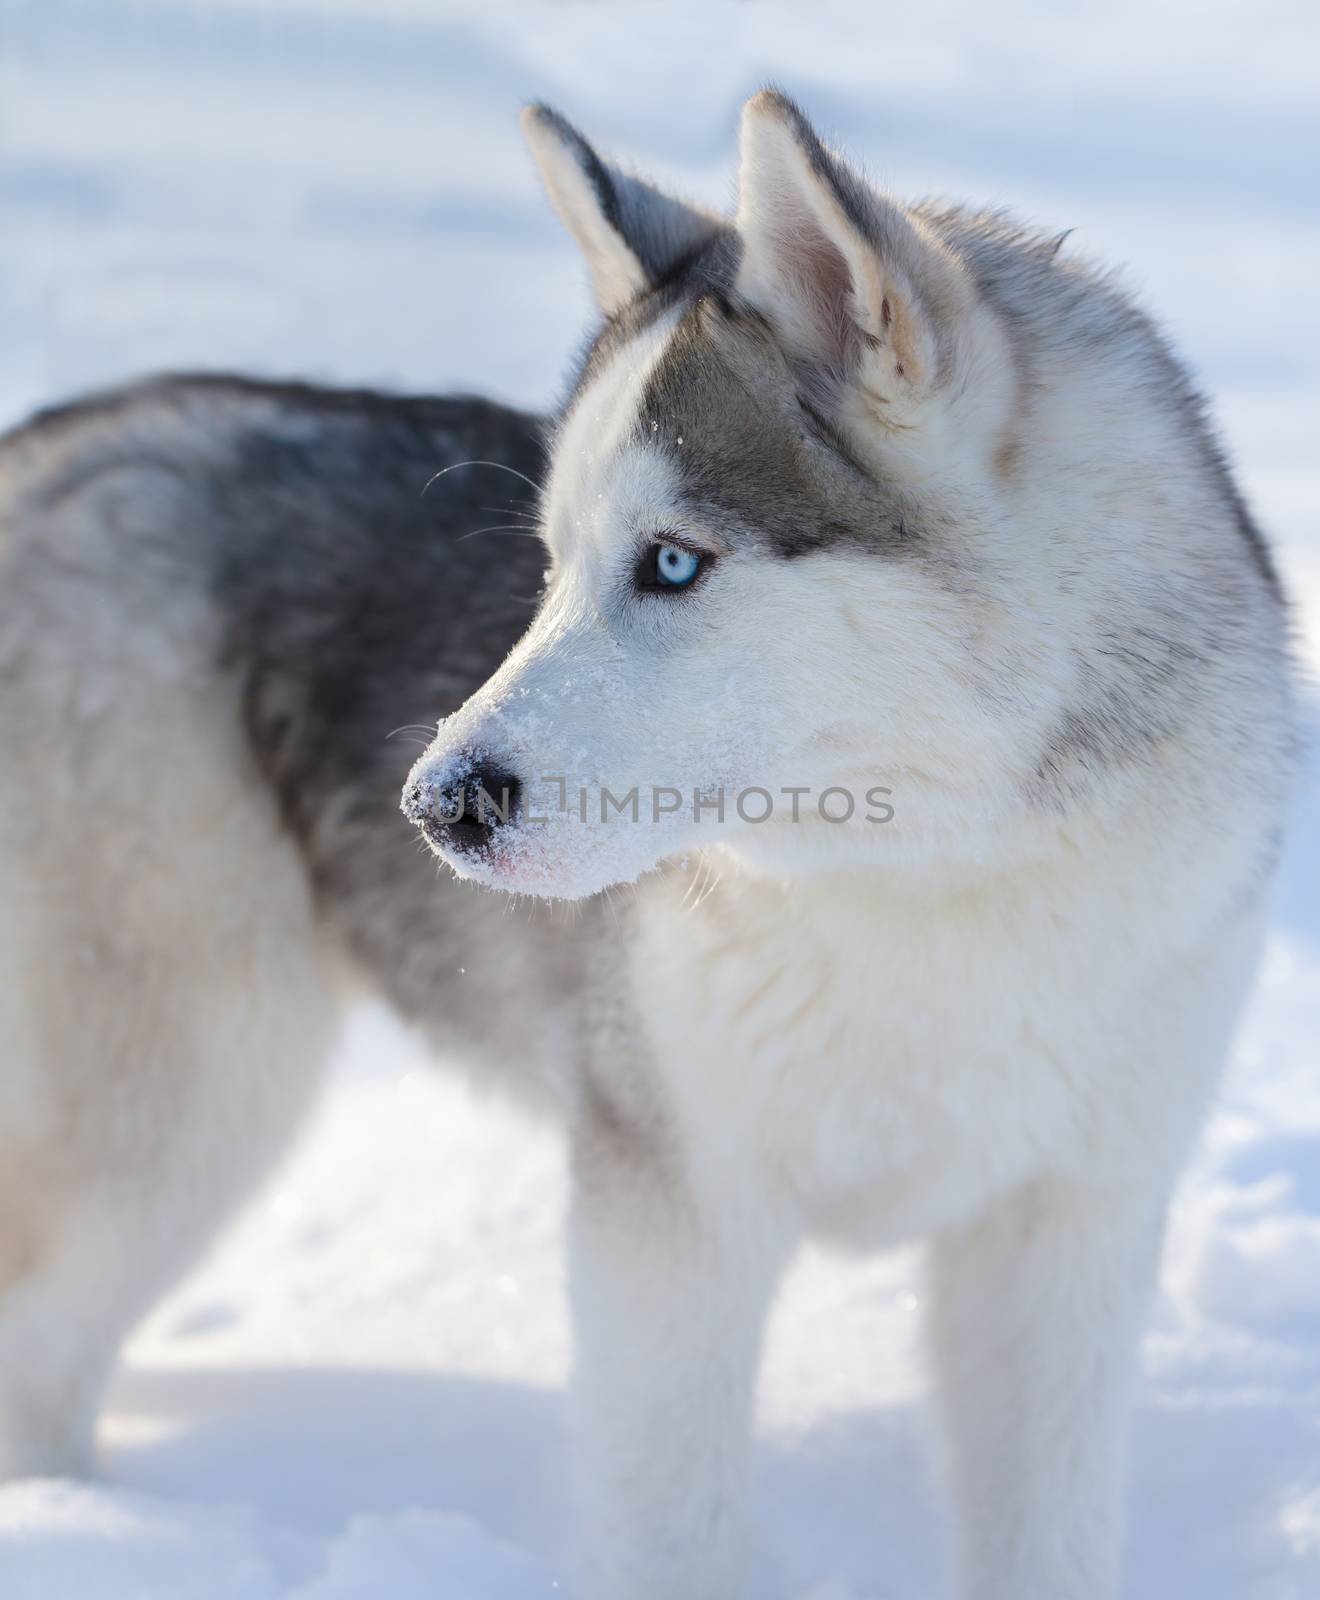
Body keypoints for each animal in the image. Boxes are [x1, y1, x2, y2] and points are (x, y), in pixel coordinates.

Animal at [398, 96, 1286, 1600]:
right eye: (554, 567)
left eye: (674, 562)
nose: (438, 799)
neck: (944, 877)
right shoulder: (675, 1218)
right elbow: (673, 1531)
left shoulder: (1068, 1229)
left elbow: (1047, 1532)